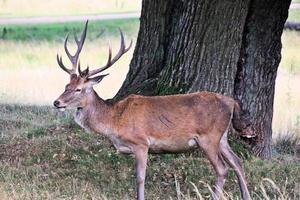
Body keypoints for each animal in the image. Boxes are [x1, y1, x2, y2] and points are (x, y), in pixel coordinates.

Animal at [54, 21, 253, 199]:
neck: (115, 121)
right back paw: (246, 196)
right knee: (238, 162)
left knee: (222, 168)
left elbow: (140, 178)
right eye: (66, 86)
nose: (56, 102)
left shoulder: (141, 142)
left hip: (208, 136)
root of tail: (231, 101)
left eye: (79, 89)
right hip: (222, 137)